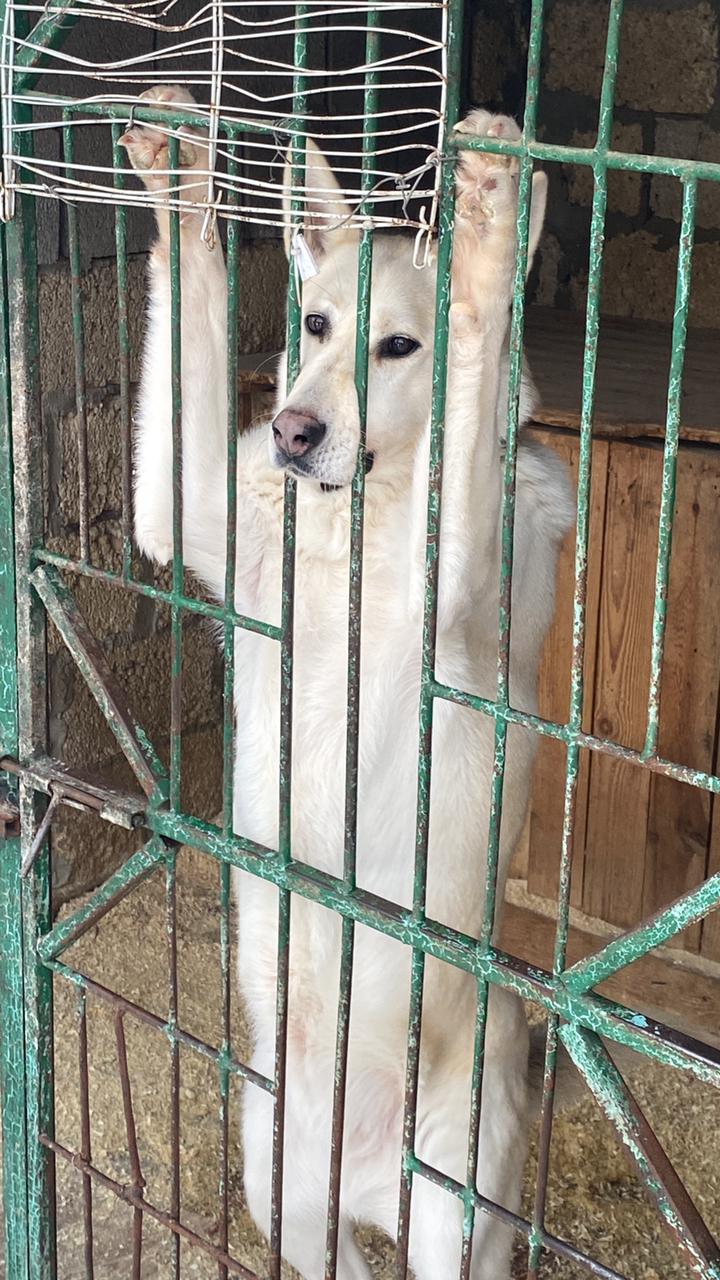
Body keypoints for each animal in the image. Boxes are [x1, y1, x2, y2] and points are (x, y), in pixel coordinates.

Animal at [121, 90, 571, 1280]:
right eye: (316, 326)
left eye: (397, 346)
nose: (293, 430)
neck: (352, 524)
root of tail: (363, 1165)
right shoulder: (184, 513)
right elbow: (192, 302)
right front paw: (178, 169)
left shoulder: (450, 577)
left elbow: (474, 366)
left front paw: (492, 216)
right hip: (279, 1180)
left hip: (456, 1217)